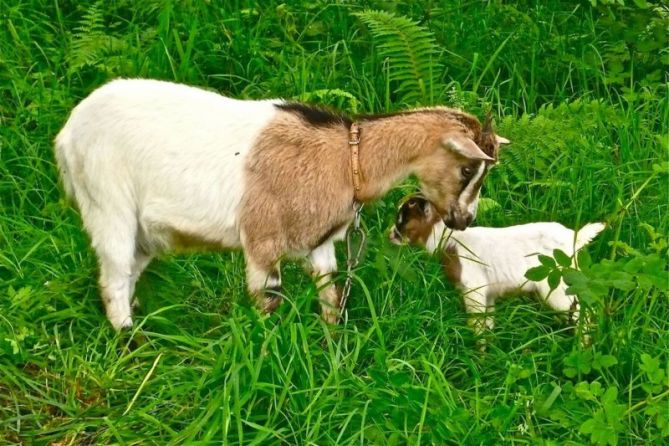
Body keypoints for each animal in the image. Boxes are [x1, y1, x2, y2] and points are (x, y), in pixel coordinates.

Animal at [57, 78, 508, 330]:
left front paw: (332, 348)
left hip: (144, 230)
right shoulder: (262, 240)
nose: (464, 220)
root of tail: (68, 134)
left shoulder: (320, 243)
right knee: (113, 275)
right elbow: (269, 302)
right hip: (108, 201)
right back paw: (128, 337)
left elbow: (330, 295)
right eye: (468, 169)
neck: (345, 158)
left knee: (128, 270)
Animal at [388, 195, 604, 342]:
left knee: (581, 311)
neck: (449, 239)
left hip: (558, 282)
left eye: (402, 221)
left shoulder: (473, 289)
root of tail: (575, 239)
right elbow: (487, 322)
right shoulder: (488, 294)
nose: (389, 234)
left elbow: (476, 323)